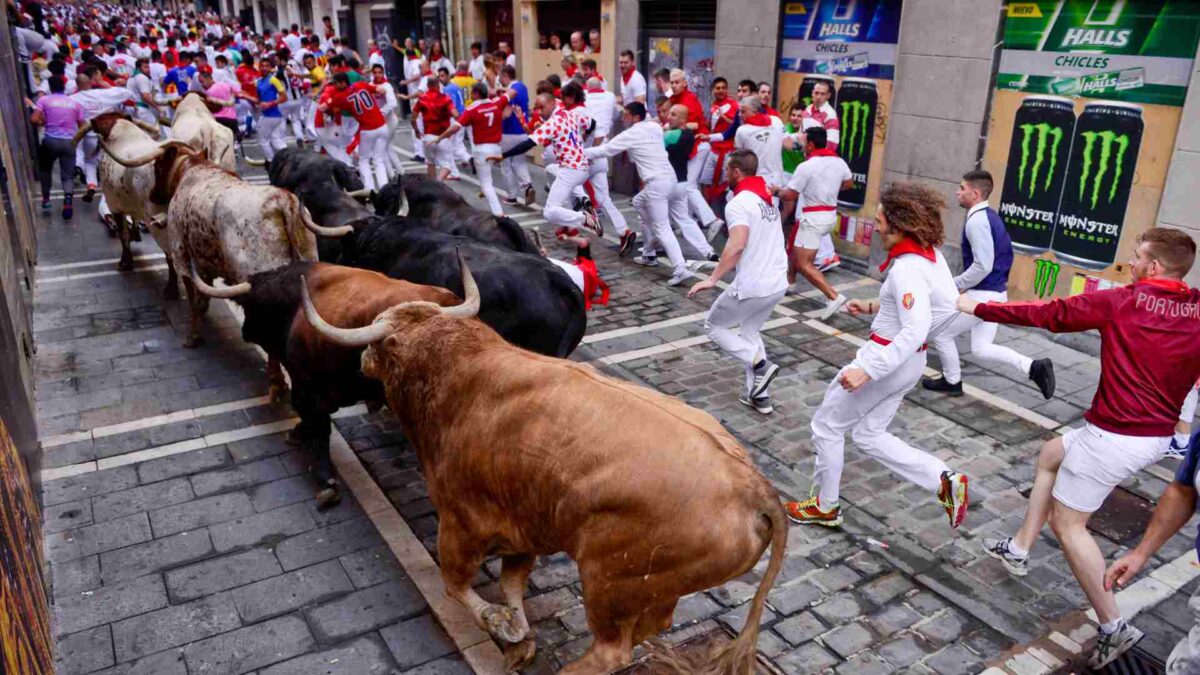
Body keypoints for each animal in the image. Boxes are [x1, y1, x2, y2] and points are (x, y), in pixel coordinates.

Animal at [302, 257, 787, 672]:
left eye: (378, 345)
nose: (363, 361)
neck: (456, 370)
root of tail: (754, 486)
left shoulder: (460, 522)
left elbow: (455, 584)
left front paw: (500, 626)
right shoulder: (525, 528)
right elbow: (512, 585)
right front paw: (518, 637)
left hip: (609, 584)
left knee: (611, 651)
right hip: (649, 589)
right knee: (651, 627)